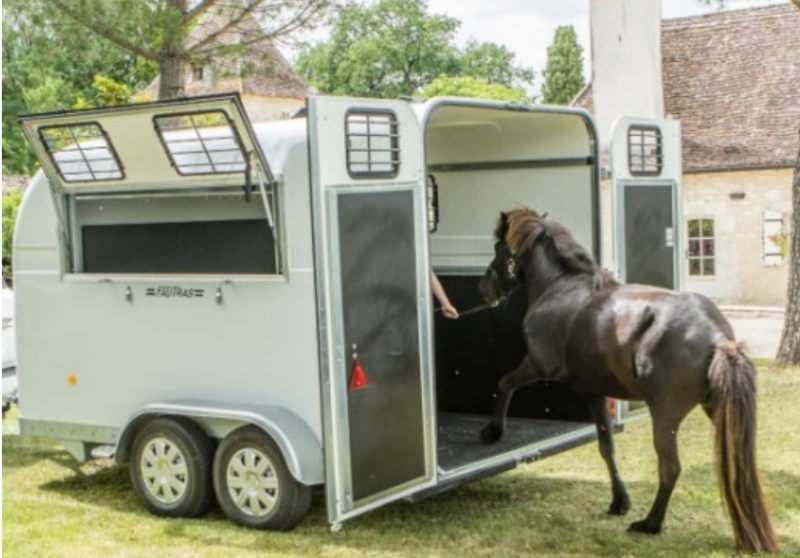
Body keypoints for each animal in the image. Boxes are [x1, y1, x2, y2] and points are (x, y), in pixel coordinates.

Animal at [478, 208, 779, 554]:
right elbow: (607, 446)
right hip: (718, 409)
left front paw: (493, 431)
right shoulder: (594, 392)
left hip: (664, 416)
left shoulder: (538, 365)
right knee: (738, 464)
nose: (484, 289)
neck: (561, 287)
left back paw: (650, 524)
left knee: (670, 467)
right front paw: (618, 501)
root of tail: (717, 338)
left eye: (498, 248)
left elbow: (504, 384)